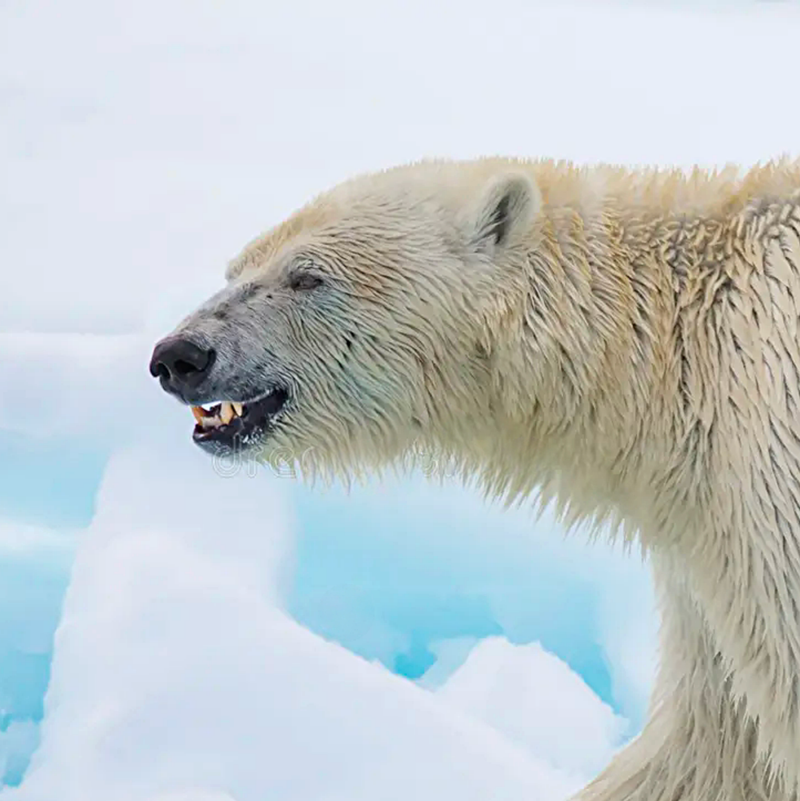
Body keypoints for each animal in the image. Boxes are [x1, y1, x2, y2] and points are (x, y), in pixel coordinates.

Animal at [150, 158, 800, 800]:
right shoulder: (709, 535)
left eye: (306, 276)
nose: (180, 356)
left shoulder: (764, 465)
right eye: (237, 267)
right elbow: (710, 745)